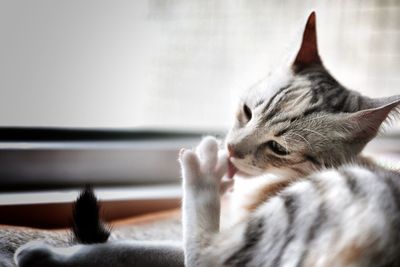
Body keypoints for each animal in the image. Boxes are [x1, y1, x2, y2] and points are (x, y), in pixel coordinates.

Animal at [11, 11, 400, 267]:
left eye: (279, 148)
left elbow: (138, 248)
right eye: (246, 111)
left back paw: (203, 172)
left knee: (206, 254)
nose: (231, 149)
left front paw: (52, 253)